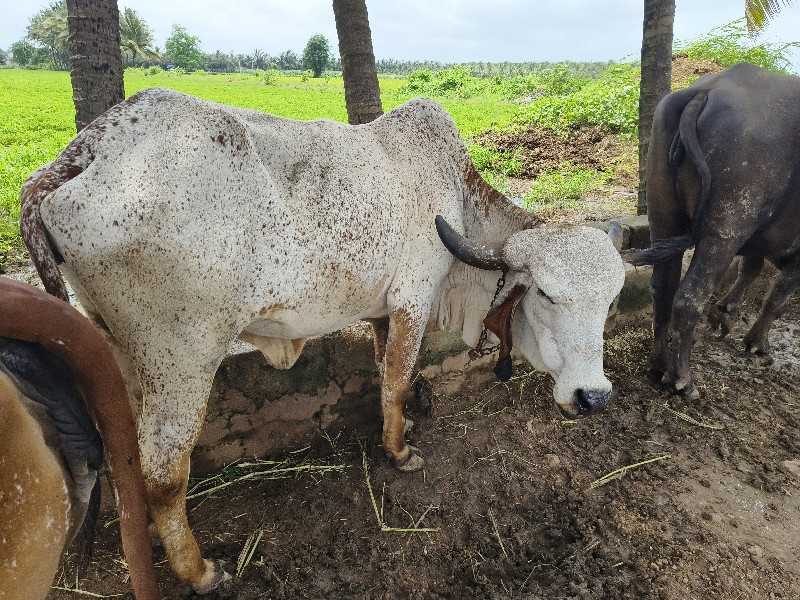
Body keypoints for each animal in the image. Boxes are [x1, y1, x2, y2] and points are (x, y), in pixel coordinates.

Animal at [21, 90, 624, 596]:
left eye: (612, 298)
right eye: (546, 293)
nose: (593, 397)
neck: (460, 206)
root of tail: (81, 154)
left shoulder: (383, 310)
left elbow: (384, 371)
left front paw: (404, 424)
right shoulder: (413, 298)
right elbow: (397, 378)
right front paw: (399, 451)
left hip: (122, 350)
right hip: (183, 357)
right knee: (163, 470)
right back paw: (198, 570)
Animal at [624, 63, 800, 396]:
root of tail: (708, 90)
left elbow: (750, 269)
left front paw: (726, 313)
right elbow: (777, 296)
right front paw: (757, 344)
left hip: (663, 217)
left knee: (663, 287)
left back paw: (659, 364)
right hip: (724, 231)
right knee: (689, 297)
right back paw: (683, 380)